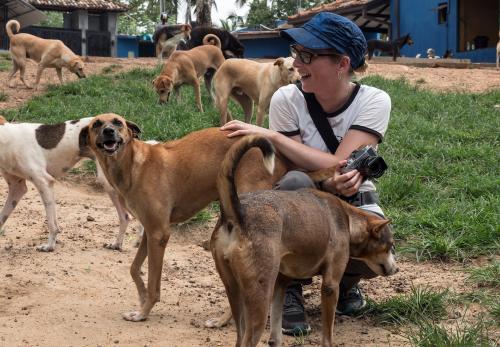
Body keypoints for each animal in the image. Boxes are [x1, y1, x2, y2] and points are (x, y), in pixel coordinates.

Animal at [81, 114, 292, 324]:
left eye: (118, 122)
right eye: (96, 124)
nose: (109, 131)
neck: (133, 165)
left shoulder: (159, 234)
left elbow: (154, 285)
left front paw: (143, 312)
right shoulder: (150, 231)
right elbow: (134, 268)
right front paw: (141, 297)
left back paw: (223, 320)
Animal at [211, 137, 398, 347]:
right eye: (390, 246)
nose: (396, 268)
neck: (349, 219)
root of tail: (237, 213)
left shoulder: (280, 283)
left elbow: (276, 332)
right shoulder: (330, 285)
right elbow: (328, 333)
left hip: (235, 290)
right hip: (259, 297)